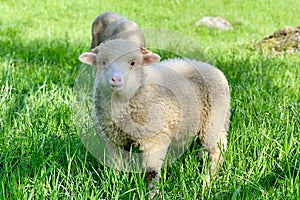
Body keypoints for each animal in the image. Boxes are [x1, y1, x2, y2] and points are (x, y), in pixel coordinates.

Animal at [78, 39, 230, 198]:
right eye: (103, 62)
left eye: (133, 63)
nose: (116, 79)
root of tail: (211, 67)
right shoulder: (114, 141)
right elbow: (116, 167)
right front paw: (115, 188)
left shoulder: (154, 141)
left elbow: (151, 172)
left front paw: (151, 194)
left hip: (214, 123)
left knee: (217, 152)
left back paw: (207, 181)